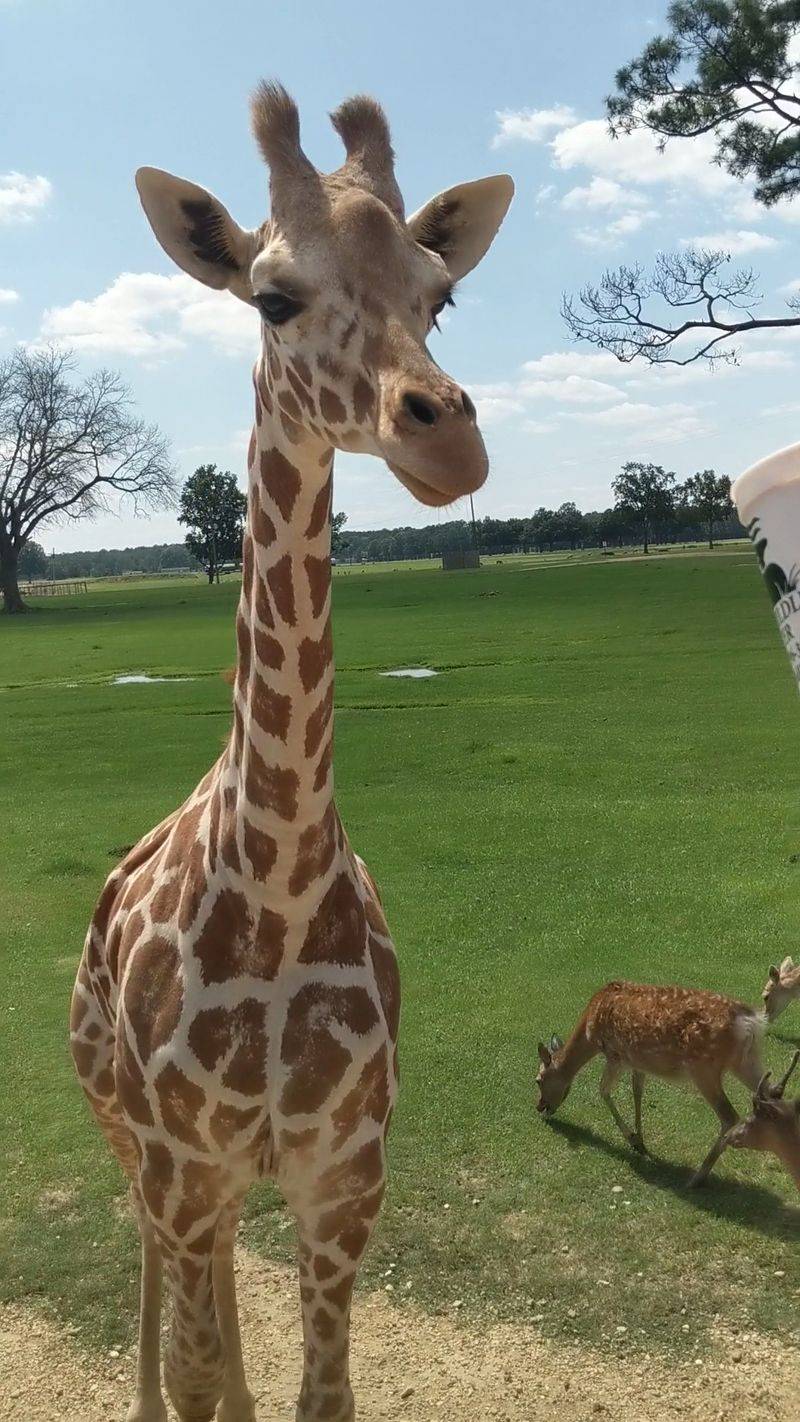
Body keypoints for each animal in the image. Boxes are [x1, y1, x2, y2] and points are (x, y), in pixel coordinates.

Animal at [70, 83, 513, 1422]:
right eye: (271, 296)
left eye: (439, 294)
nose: (446, 443)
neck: (271, 885)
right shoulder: (185, 1163)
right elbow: (199, 1369)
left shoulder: (342, 1181)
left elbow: (322, 1395)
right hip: (117, 1124)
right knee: (161, 1276)